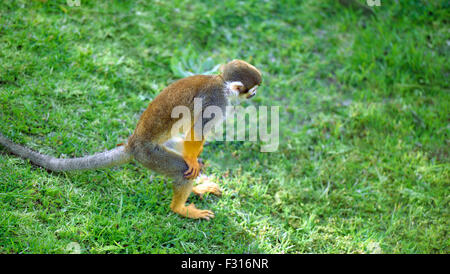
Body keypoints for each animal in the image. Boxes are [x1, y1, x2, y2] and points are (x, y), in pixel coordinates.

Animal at [0, 60, 262, 220]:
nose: (256, 94)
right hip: (149, 155)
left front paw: (198, 171)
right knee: (180, 170)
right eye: (253, 89)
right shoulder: (216, 99)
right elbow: (197, 131)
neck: (221, 83)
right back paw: (179, 207)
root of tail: (131, 144)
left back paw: (196, 188)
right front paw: (192, 162)